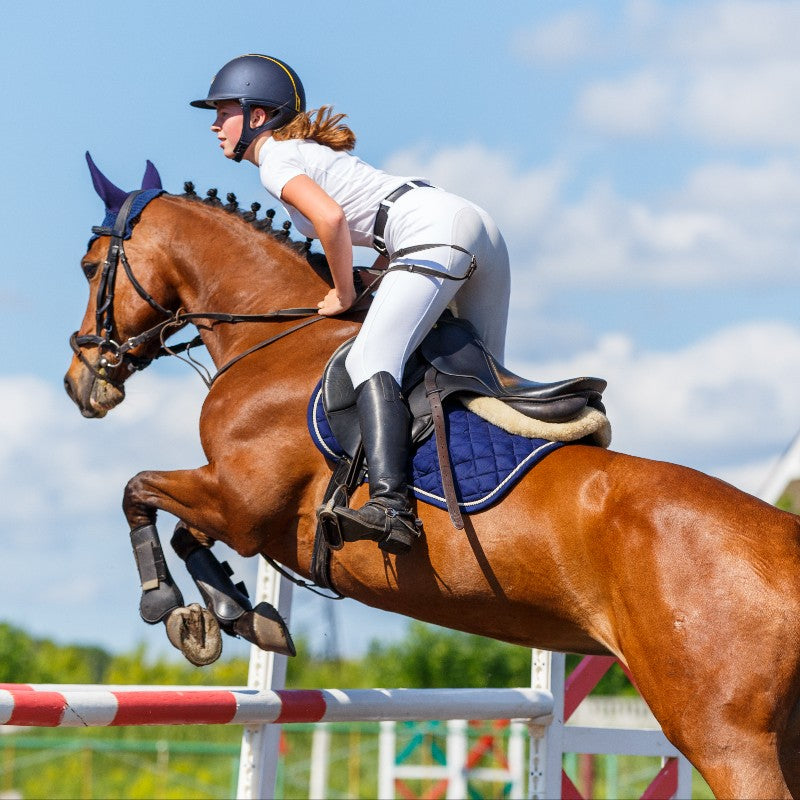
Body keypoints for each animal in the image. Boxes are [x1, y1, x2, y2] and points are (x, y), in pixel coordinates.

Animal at [64, 157, 800, 798]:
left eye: (91, 267)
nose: (81, 383)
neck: (274, 337)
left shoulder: (242, 505)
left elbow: (139, 492)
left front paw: (171, 606)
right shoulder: (245, 513)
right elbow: (184, 530)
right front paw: (233, 616)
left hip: (726, 739)